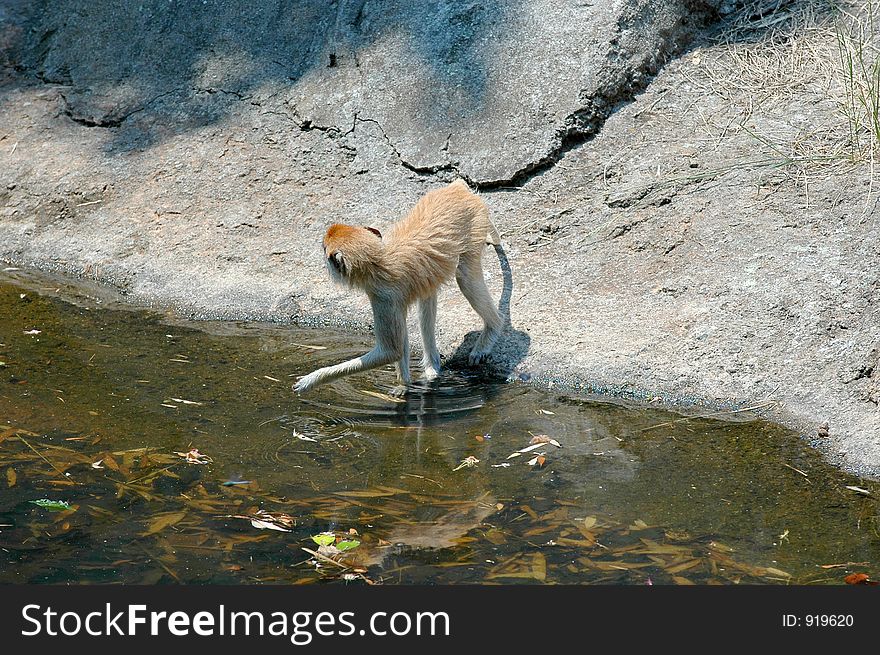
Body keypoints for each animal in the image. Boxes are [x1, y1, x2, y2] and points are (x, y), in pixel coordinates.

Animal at [296, 179, 502, 394]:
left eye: (324, 248)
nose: (324, 260)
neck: (378, 261)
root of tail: (457, 188)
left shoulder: (382, 298)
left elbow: (390, 351)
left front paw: (310, 380)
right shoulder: (392, 301)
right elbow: (401, 343)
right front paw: (404, 384)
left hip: (475, 224)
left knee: (466, 278)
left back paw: (491, 330)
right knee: (428, 298)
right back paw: (432, 370)